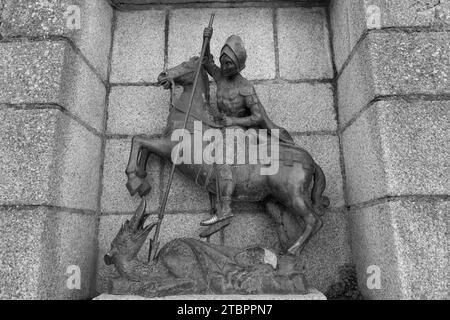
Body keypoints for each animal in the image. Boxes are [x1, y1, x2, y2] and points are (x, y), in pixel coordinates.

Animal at [125, 55, 328, 255]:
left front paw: (133, 180)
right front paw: (141, 181)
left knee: (314, 221)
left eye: (185, 64)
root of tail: (310, 161)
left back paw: (292, 250)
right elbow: (144, 147)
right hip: (274, 201)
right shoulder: (165, 146)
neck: (192, 121)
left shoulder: (170, 148)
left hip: (292, 195)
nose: (162, 75)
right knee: (283, 223)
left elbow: (139, 141)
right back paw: (281, 252)